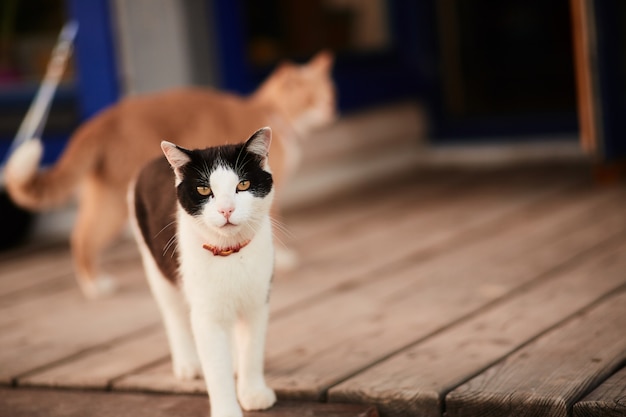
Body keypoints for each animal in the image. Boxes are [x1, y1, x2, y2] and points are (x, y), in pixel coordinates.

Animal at [6, 52, 336, 298]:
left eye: (330, 96)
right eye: (311, 98)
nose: (330, 112)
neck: (274, 112)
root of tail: (99, 120)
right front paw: (285, 259)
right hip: (114, 201)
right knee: (82, 237)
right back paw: (95, 285)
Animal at [129, 127, 276, 416]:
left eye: (243, 185)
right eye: (204, 189)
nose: (226, 209)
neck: (230, 253)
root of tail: (153, 161)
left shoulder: (258, 301)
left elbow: (252, 349)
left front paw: (253, 392)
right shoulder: (206, 315)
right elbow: (216, 368)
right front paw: (227, 410)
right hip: (157, 266)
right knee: (173, 314)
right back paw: (188, 363)